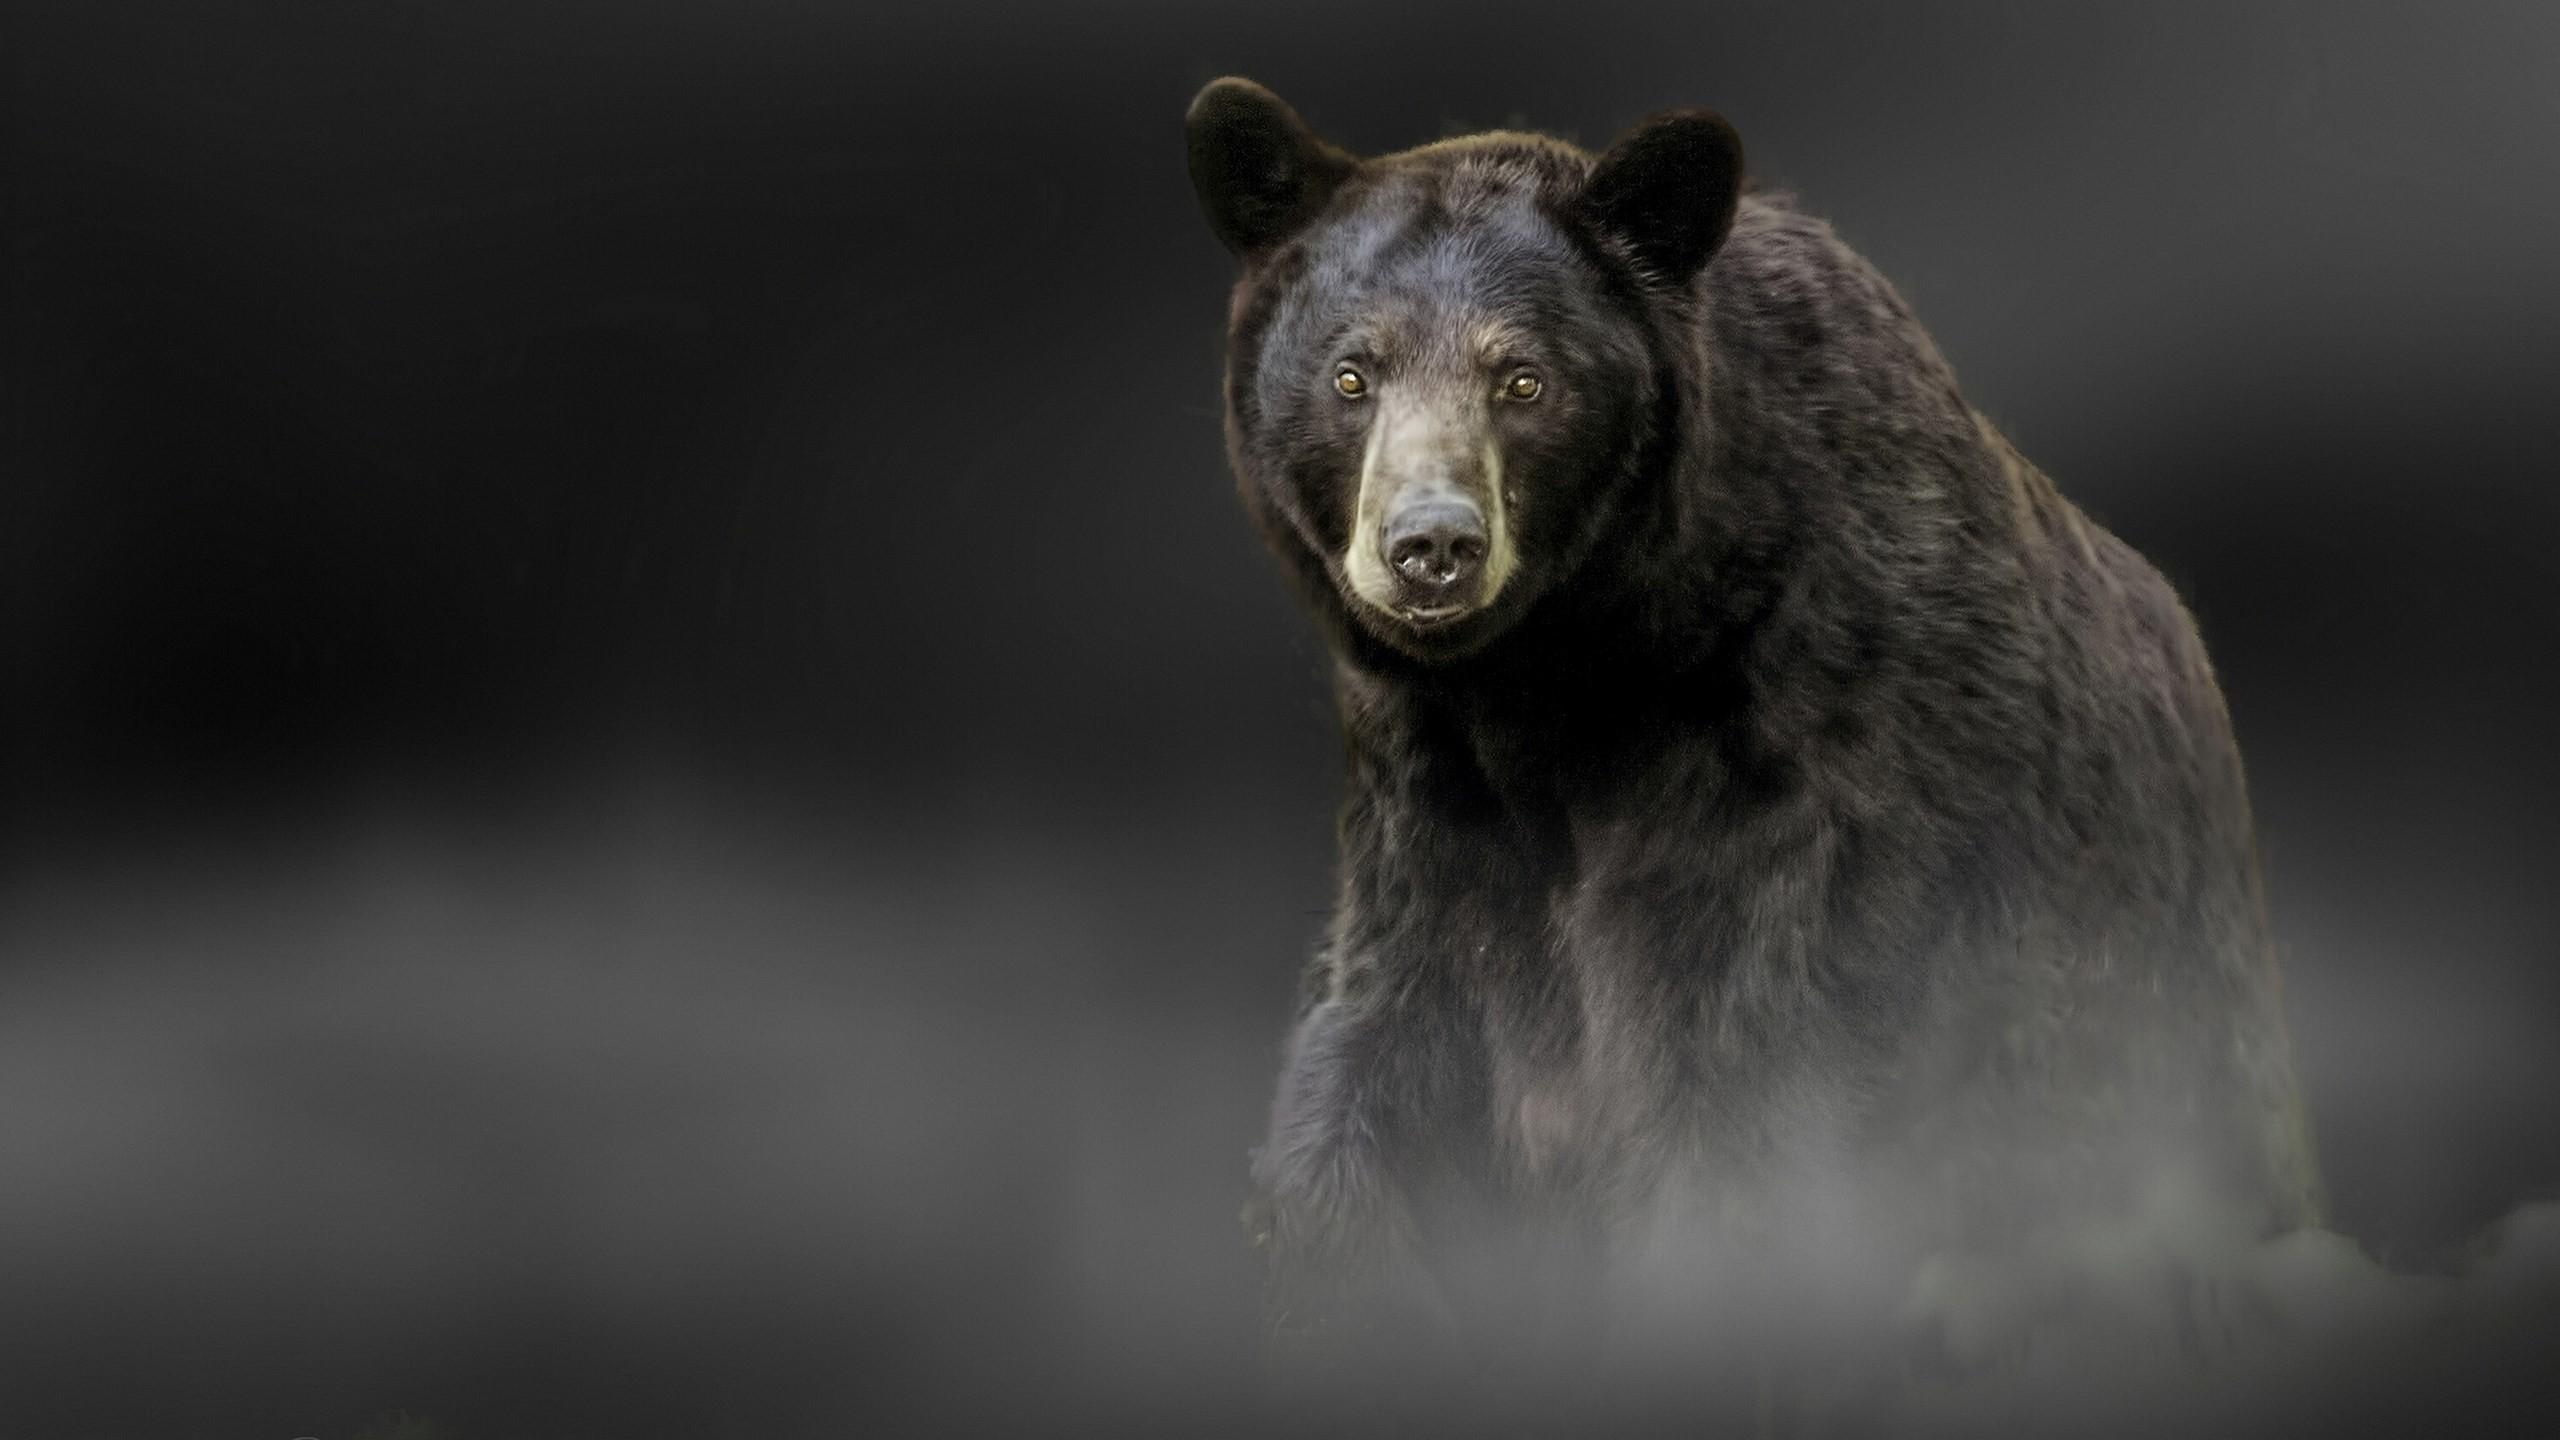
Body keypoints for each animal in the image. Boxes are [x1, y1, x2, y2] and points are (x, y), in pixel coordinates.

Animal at [1184, 77, 2324, 1388]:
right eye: (1350, 374)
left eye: (1523, 380)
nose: (1431, 544)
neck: (1566, 679)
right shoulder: (1422, 802)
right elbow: (1372, 1058)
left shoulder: (1801, 775)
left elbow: (1740, 1094)